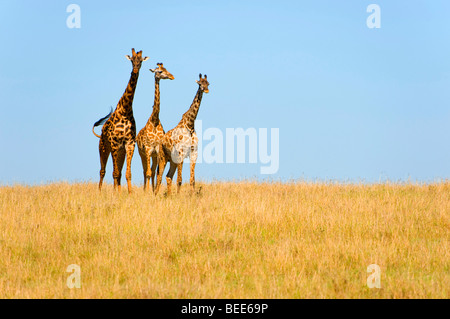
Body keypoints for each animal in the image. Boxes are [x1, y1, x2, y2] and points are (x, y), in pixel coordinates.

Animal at [92, 47, 150, 192]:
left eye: (141, 61)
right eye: (132, 60)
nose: (135, 71)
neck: (126, 110)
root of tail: (100, 133)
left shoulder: (129, 144)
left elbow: (127, 173)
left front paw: (129, 193)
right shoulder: (114, 143)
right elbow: (115, 173)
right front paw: (115, 194)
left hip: (120, 151)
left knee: (118, 172)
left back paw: (116, 190)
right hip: (103, 147)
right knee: (103, 171)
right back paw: (100, 191)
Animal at [135, 62, 174, 192]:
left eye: (166, 69)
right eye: (160, 71)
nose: (172, 76)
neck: (155, 120)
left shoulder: (157, 150)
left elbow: (155, 173)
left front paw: (153, 191)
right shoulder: (147, 149)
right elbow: (148, 172)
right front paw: (147, 192)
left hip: (154, 155)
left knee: (151, 171)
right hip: (141, 153)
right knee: (144, 171)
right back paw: (145, 190)